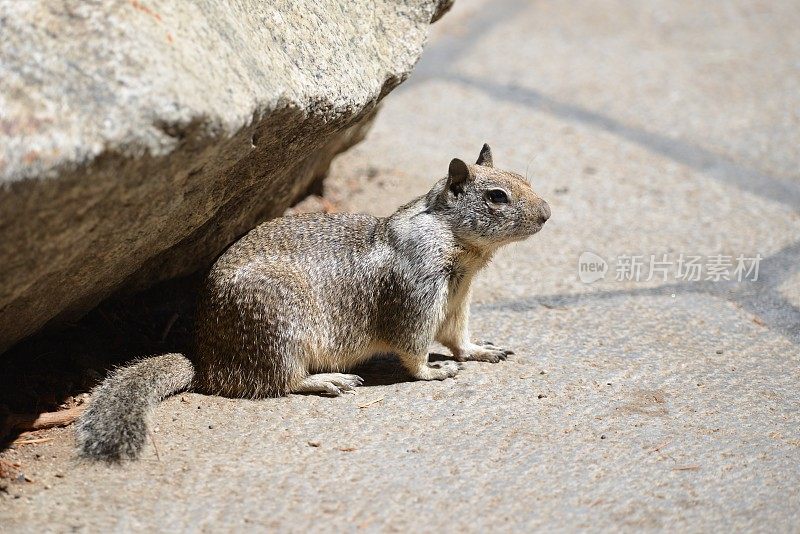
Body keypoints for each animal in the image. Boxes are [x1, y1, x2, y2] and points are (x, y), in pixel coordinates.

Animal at [76, 144, 552, 462]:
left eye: (526, 180)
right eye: (497, 196)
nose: (547, 214)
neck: (459, 249)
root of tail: (206, 360)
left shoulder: (456, 298)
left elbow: (457, 336)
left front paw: (480, 350)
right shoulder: (417, 293)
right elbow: (413, 345)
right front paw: (434, 372)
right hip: (280, 329)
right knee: (279, 382)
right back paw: (328, 381)